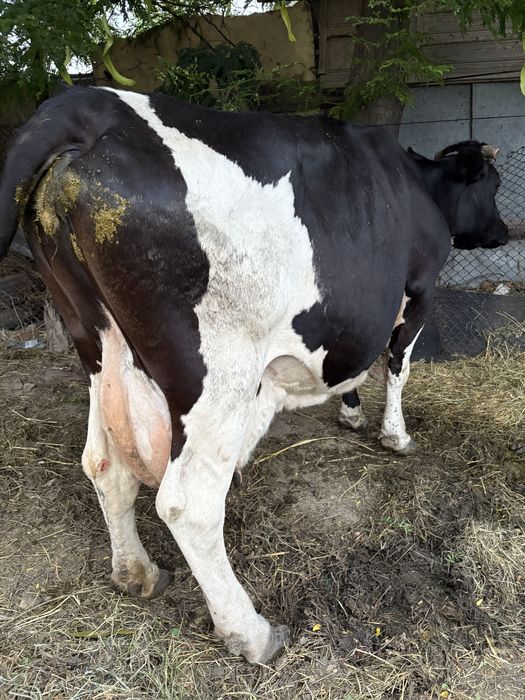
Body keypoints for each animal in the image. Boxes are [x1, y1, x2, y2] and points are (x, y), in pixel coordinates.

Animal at [0, 86, 508, 664]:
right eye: (493, 185)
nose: (502, 232)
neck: (417, 183)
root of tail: (86, 103)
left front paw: (352, 414)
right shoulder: (418, 290)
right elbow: (397, 366)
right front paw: (395, 435)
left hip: (98, 347)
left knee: (105, 464)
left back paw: (138, 572)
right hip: (218, 374)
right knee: (188, 502)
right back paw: (251, 631)